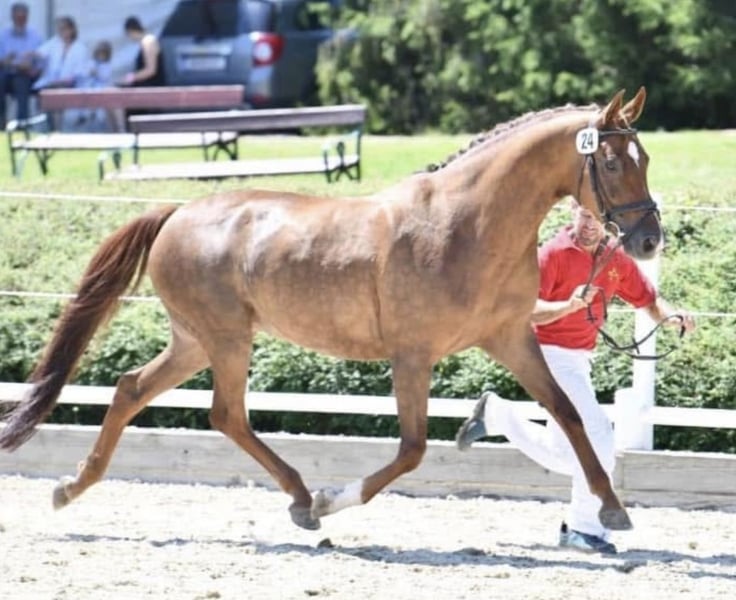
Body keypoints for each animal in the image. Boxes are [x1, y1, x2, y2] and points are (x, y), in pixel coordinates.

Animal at [0, 88, 660, 532]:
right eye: (609, 162)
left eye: (646, 158)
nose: (649, 240)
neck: (466, 224)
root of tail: (178, 211)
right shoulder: (413, 355)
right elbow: (412, 448)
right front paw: (331, 500)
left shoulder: (511, 338)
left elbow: (569, 416)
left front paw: (612, 508)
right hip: (226, 338)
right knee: (225, 414)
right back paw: (302, 500)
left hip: (194, 340)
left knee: (133, 388)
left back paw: (71, 487)